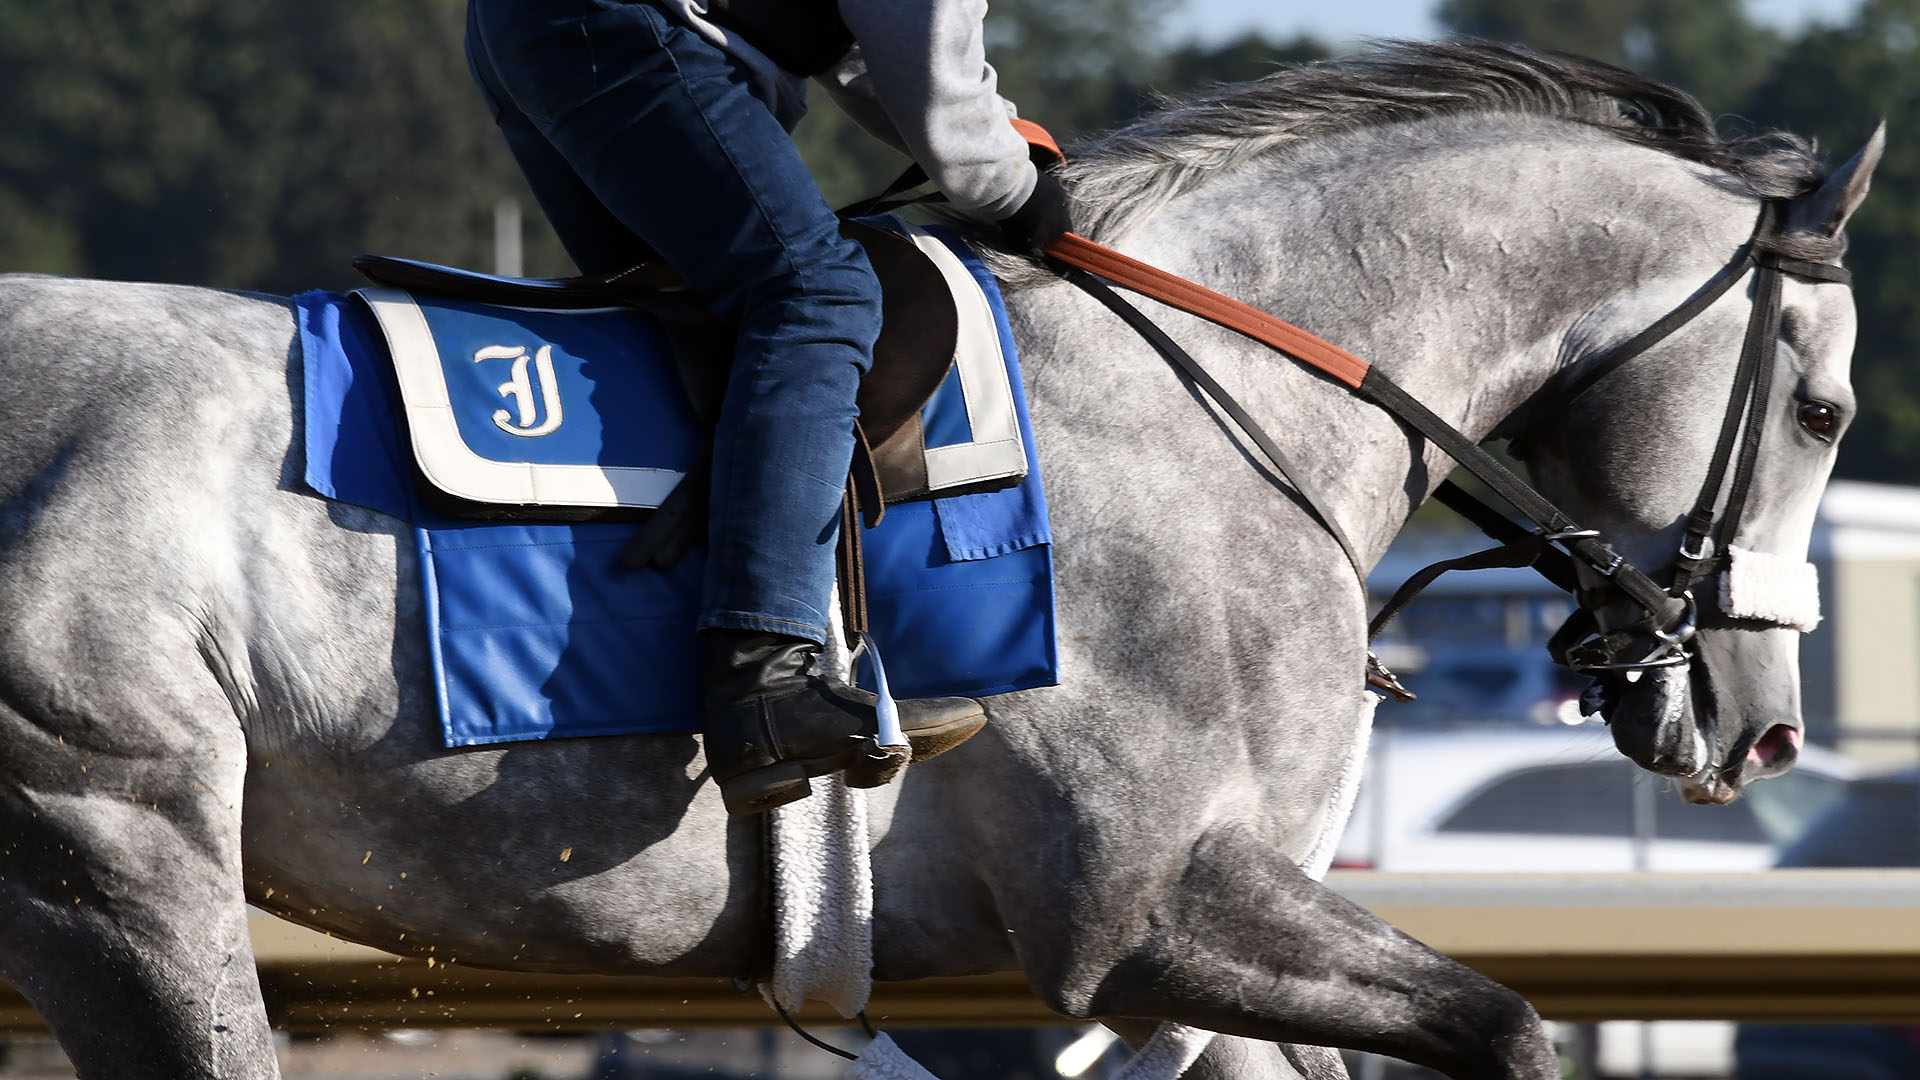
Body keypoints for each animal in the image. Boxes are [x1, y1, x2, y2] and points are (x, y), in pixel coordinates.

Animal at [0, 42, 1873, 1076]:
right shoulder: (1143, 903)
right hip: (118, 847)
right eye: (1829, 407)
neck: (1218, 389)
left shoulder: (1204, 935)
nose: (1761, 721)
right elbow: (1505, 1026)